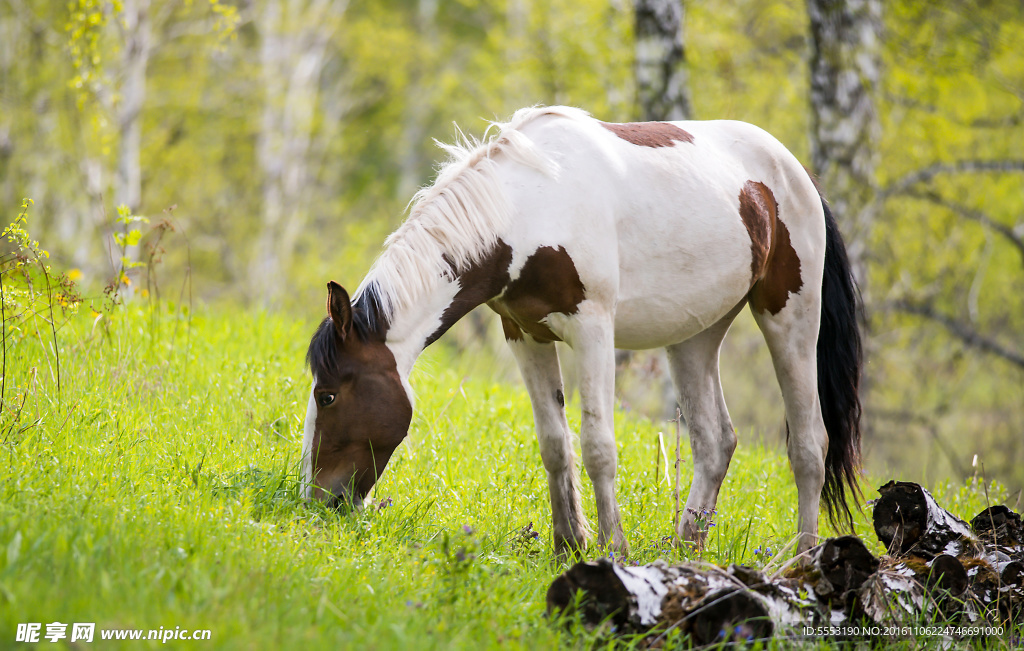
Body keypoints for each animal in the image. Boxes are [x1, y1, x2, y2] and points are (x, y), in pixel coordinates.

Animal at [303, 105, 864, 552]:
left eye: (328, 396)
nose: (317, 499)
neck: (530, 207)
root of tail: (797, 175)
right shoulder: (524, 334)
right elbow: (555, 444)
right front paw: (567, 545)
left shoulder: (594, 331)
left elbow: (598, 447)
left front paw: (613, 549)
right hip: (695, 335)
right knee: (715, 441)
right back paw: (684, 550)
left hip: (790, 316)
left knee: (809, 444)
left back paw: (801, 557)